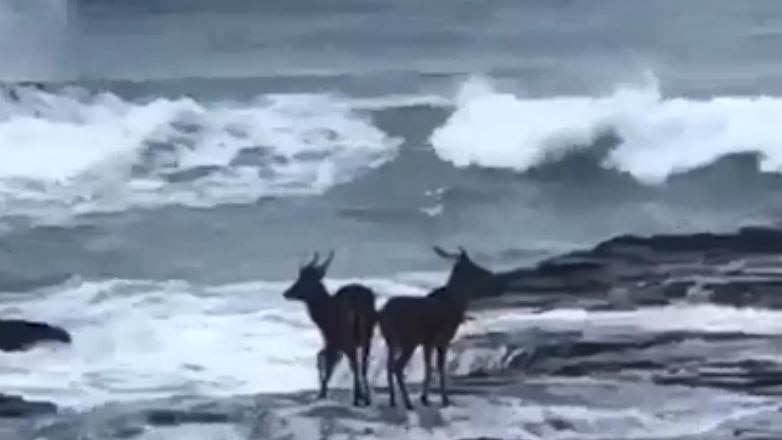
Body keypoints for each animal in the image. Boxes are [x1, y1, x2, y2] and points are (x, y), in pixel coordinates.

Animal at [284, 251, 378, 406]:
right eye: (300, 277)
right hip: (366, 337)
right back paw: (365, 397)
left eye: (305, 280)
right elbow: (325, 359)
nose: (286, 292)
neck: (324, 319)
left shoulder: (332, 341)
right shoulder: (336, 344)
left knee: (355, 364)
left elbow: (324, 361)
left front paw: (321, 393)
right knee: (363, 365)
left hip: (348, 337)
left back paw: (357, 397)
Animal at [380, 246, 508, 410]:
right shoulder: (442, 340)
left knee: (389, 365)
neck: (454, 304)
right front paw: (444, 399)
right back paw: (407, 402)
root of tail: (382, 314)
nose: (490, 274)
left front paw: (425, 398)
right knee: (397, 366)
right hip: (409, 340)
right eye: (472, 266)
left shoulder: (428, 343)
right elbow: (440, 368)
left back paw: (393, 399)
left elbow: (428, 368)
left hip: (391, 341)